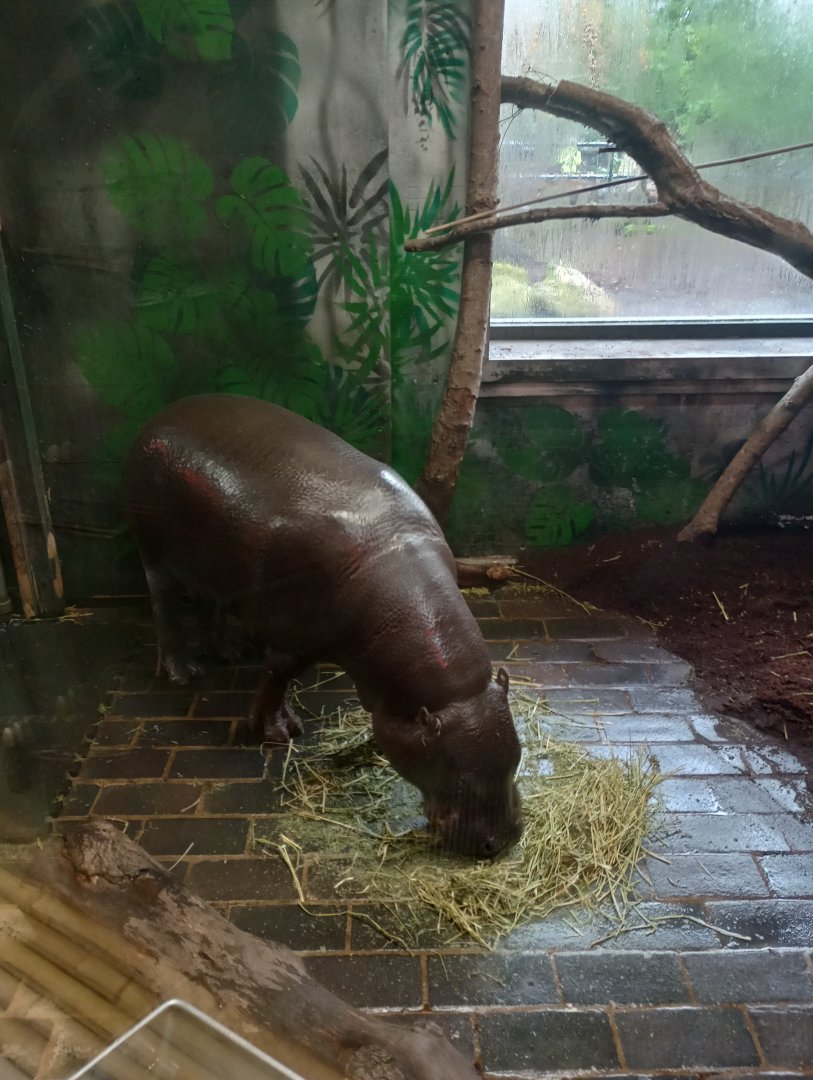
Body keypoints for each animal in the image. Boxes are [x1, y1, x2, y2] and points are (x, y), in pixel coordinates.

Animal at [123, 395, 522, 857]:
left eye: (517, 755)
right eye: (456, 774)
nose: (503, 841)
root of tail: (163, 413)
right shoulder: (292, 636)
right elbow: (277, 677)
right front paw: (279, 732)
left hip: (217, 566)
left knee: (213, 602)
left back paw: (228, 651)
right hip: (154, 550)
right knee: (163, 603)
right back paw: (183, 673)